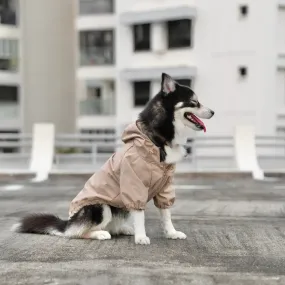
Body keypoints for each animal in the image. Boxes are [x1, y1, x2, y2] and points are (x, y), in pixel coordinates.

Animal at [12, 72, 214, 244]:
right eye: (194, 102)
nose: (213, 112)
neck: (157, 139)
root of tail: (68, 223)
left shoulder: (165, 188)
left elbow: (166, 214)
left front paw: (171, 233)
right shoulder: (134, 185)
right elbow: (140, 214)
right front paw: (141, 237)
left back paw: (124, 229)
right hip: (100, 207)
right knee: (77, 233)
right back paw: (99, 233)